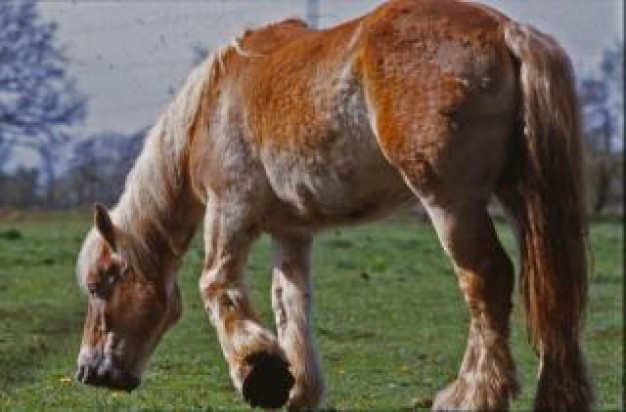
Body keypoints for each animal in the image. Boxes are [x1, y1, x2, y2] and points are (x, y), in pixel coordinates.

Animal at [72, 1, 588, 410]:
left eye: (99, 286)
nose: (87, 372)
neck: (211, 106)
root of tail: (505, 30)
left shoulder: (229, 209)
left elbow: (216, 285)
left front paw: (259, 373)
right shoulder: (291, 232)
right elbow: (290, 303)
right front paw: (298, 389)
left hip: (452, 204)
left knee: (487, 281)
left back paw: (472, 395)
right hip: (522, 201)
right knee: (551, 294)